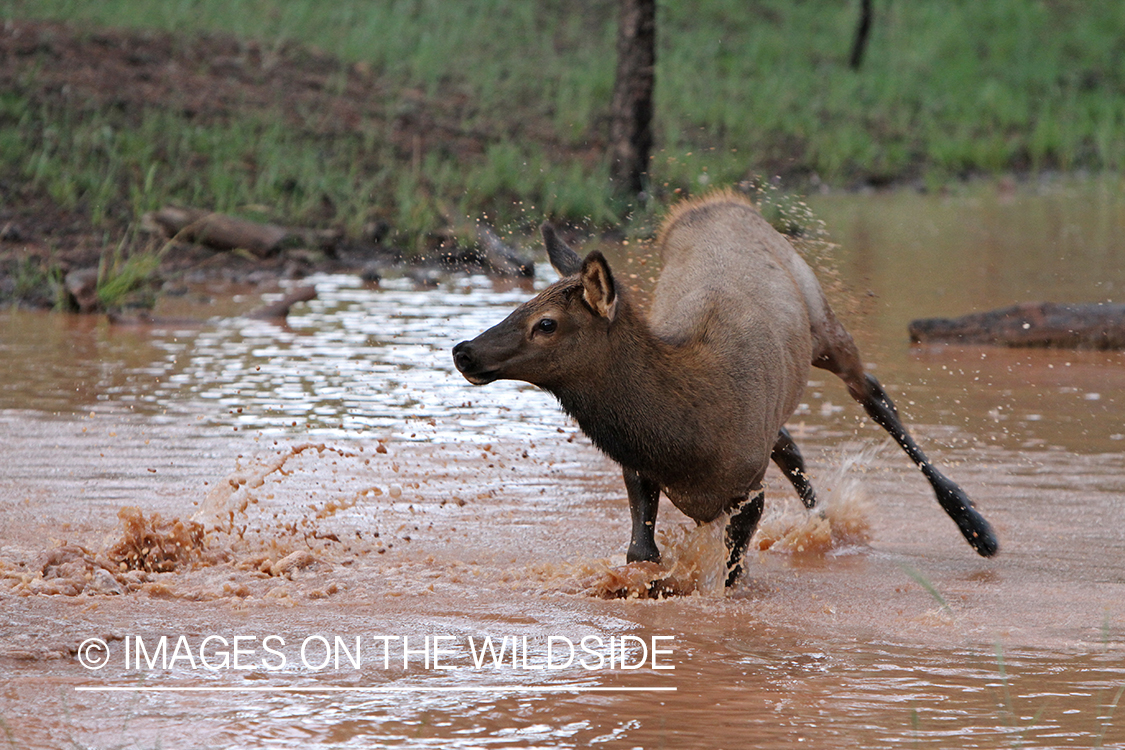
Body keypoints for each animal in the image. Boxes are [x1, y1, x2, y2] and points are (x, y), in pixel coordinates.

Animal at [452, 188, 999, 584]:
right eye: (520, 305)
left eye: (545, 324)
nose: (463, 350)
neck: (684, 439)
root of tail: (716, 202)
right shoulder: (641, 470)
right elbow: (641, 554)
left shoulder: (748, 492)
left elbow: (731, 575)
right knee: (790, 442)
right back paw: (823, 524)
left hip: (822, 320)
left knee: (874, 394)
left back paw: (975, 526)